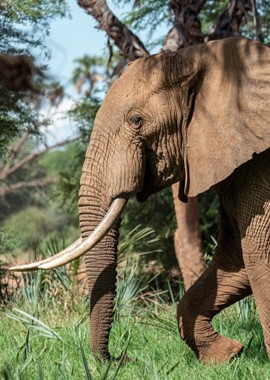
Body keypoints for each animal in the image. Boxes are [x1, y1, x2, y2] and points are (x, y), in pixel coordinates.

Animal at [11, 37, 270, 364]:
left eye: (136, 121)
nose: (124, 357)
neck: (200, 56)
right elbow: (236, 255)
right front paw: (224, 355)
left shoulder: (260, 166)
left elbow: (258, 254)